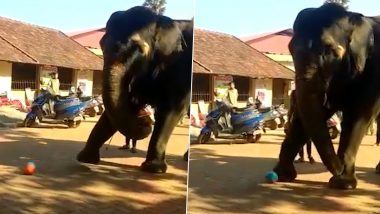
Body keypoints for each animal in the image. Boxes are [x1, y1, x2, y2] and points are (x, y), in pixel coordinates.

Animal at [75, 6, 193, 174]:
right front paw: (86, 158)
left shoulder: (181, 68)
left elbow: (172, 109)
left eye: (139, 49)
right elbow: (118, 108)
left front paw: (153, 168)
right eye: (101, 44)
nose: (145, 121)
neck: (163, 22)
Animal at [272, 3, 380, 189]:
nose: (338, 168)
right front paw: (283, 175)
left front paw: (343, 183)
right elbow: (310, 114)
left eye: (330, 50)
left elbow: (359, 113)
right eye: (290, 49)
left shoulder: (373, 69)